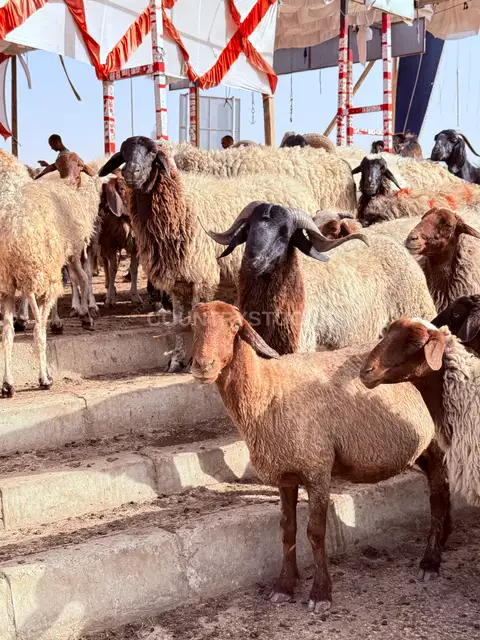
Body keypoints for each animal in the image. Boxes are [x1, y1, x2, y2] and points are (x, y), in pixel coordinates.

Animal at [0, 149, 100, 396]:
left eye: (79, 165)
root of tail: (14, 229)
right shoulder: (65, 258)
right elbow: (81, 278)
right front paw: (84, 314)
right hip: (35, 274)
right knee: (38, 329)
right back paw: (44, 378)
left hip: (10, 282)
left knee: (7, 333)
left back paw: (7, 383)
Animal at [98, 136, 321, 372]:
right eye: (124, 153)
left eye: (152, 153)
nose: (131, 171)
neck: (182, 206)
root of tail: (295, 186)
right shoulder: (177, 280)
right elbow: (178, 320)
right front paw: (176, 359)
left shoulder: (201, 275)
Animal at [156, 301, 449, 612]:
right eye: (194, 325)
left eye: (235, 326)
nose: (203, 366)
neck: (268, 390)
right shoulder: (285, 474)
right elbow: (287, 529)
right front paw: (284, 585)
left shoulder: (317, 469)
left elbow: (315, 532)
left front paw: (321, 593)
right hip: (421, 450)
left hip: (438, 445)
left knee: (439, 495)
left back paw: (431, 561)